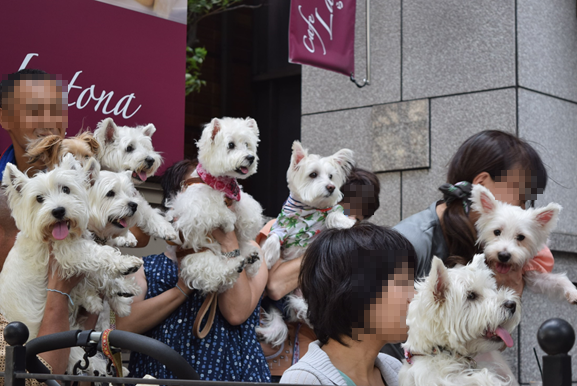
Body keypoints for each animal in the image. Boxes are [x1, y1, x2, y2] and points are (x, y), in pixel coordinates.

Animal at [164, 117, 264, 292]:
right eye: (230, 145)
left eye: (247, 144)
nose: (251, 157)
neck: (220, 184)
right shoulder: (194, 210)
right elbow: (216, 210)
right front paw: (229, 221)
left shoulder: (239, 201)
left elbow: (247, 215)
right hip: (199, 255)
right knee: (215, 274)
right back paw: (235, 265)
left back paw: (250, 258)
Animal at [256, 142, 356, 346]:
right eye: (313, 174)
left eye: (331, 176)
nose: (331, 187)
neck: (308, 210)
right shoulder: (282, 224)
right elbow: (274, 237)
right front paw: (268, 256)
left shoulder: (328, 212)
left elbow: (333, 213)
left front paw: (345, 222)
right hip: (277, 298)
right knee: (279, 317)